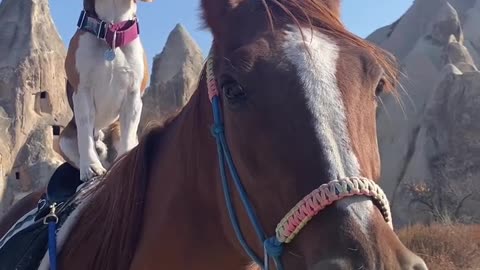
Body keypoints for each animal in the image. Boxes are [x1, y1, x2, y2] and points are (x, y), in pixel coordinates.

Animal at [59, 0, 154, 181]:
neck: (112, 32)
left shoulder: (133, 95)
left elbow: (128, 134)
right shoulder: (83, 91)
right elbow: (85, 132)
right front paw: (91, 166)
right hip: (63, 140)